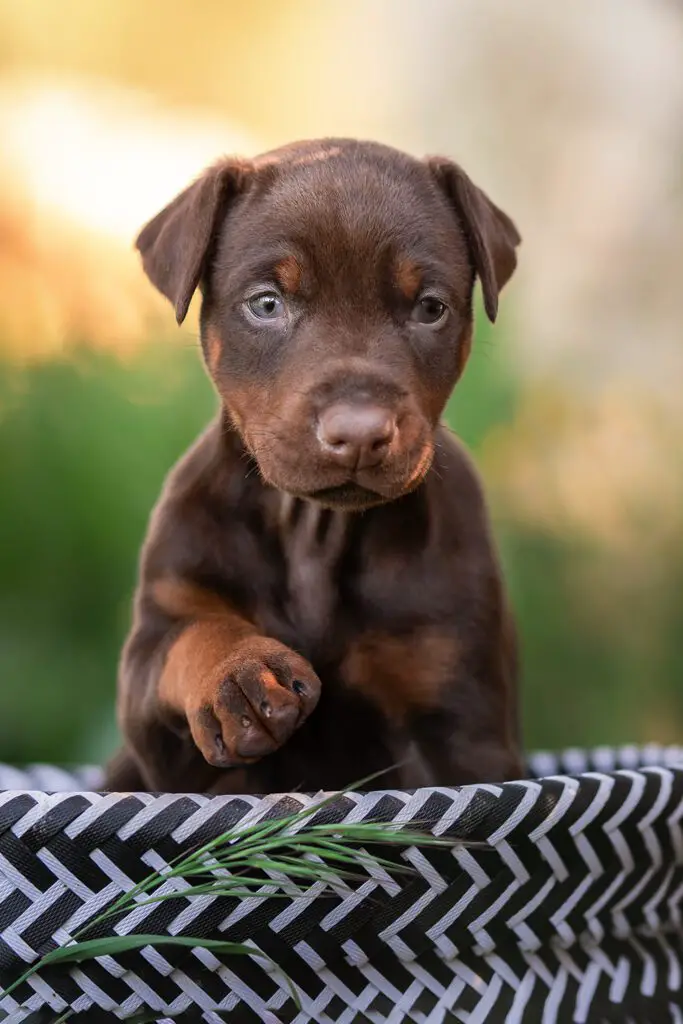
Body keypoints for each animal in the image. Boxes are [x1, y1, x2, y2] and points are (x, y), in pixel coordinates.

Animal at [105, 138, 524, 790]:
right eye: (266, 304)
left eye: (430, 308)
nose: (359, 434)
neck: (315, 531)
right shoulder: (155, 677)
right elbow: (192, 633)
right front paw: (239, 674)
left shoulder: (459, 713)